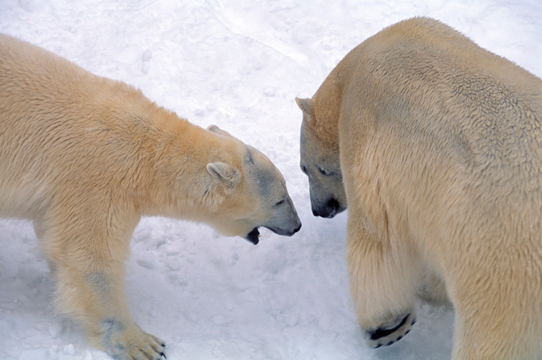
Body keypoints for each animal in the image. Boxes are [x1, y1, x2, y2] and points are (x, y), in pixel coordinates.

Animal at [0, 34, 304, 360]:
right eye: (280, 199)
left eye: (286, 192)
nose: (297, 225)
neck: (147, 152)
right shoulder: (95, 183)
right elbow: (89, 257)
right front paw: (143, 344)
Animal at [300, 16, 542, 360]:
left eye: (307, 168)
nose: (318, 210)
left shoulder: (365, 134)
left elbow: (377, 237)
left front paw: (387, 327)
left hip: (504, 276)